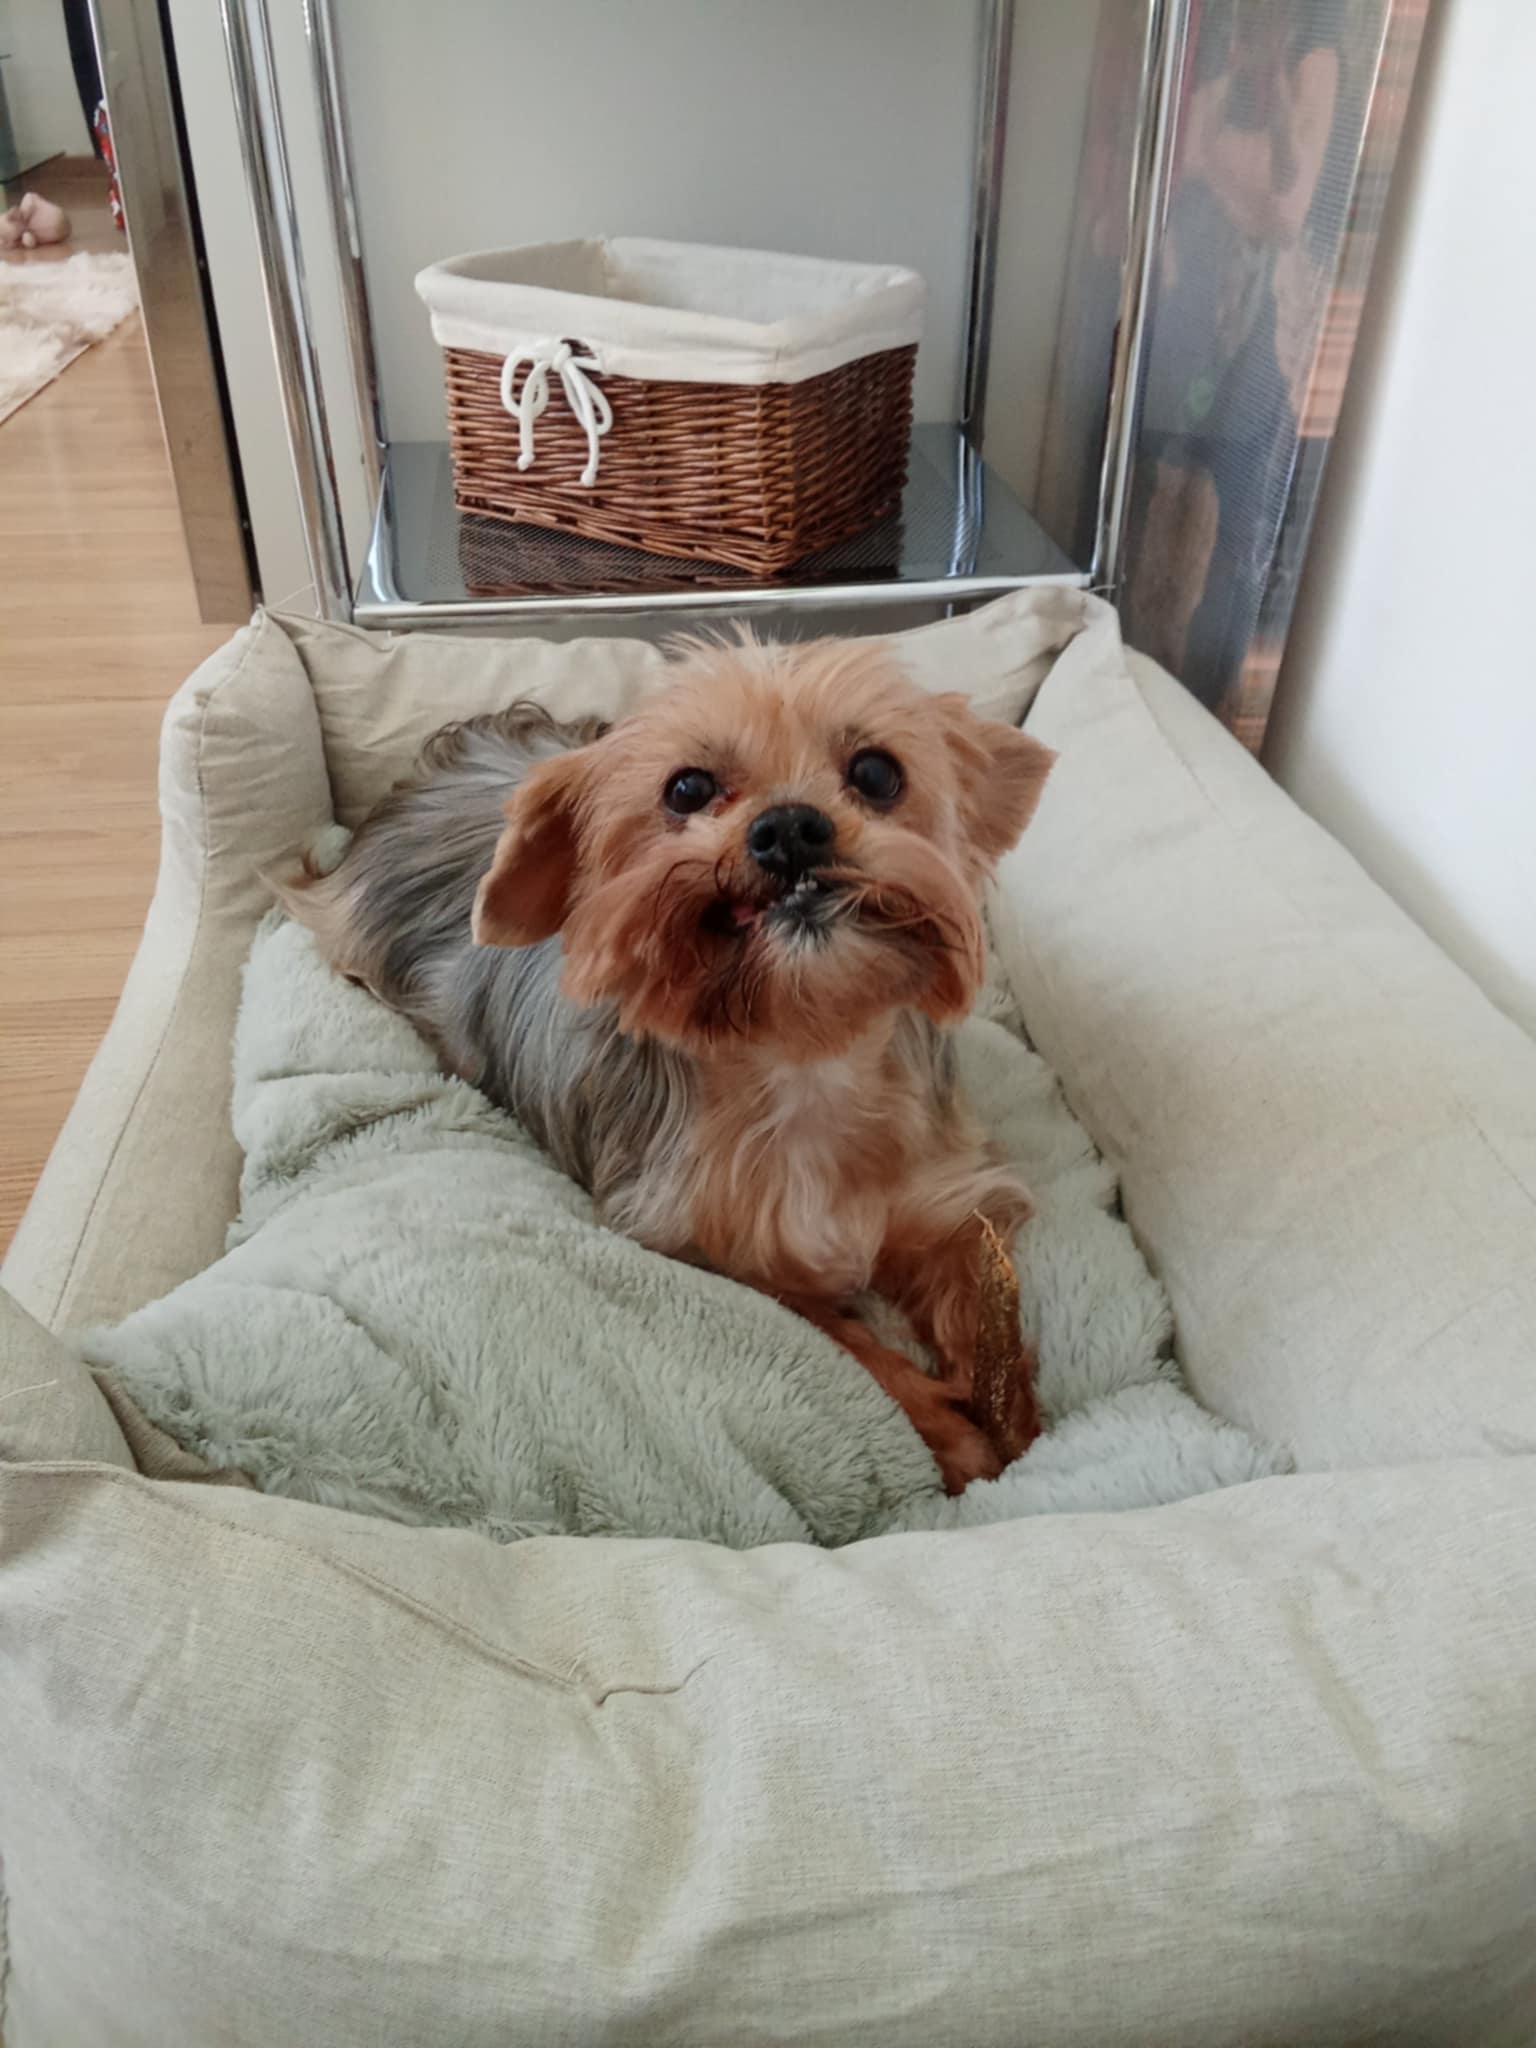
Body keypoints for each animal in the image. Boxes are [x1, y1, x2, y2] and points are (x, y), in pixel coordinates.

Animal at [277, 636, 1055, 1491]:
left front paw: (1015, 1421)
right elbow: (845, 1339)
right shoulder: (713, 1253)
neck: (802, 1052)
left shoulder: (943, 1197)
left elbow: (979, 1308)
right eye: (688, 788)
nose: (790, 827)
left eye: (877, 773)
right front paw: (949, 1431)